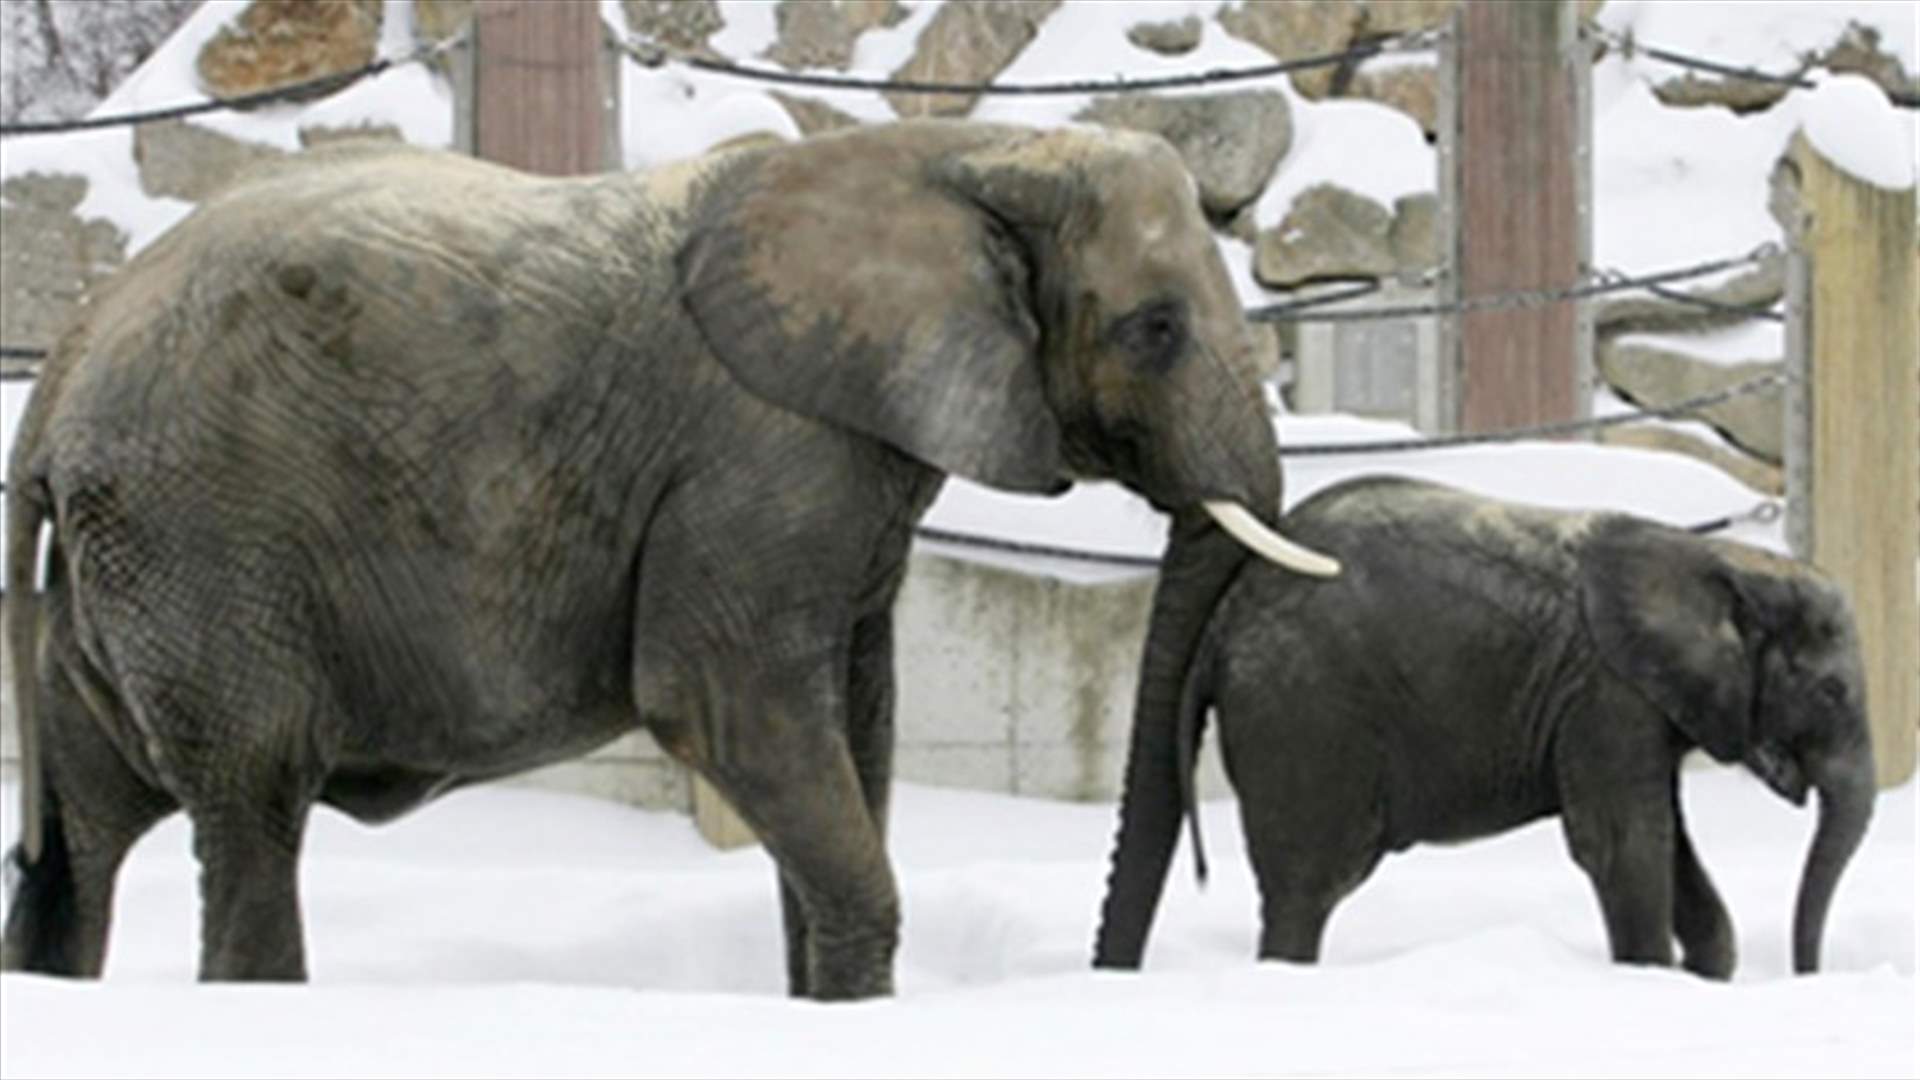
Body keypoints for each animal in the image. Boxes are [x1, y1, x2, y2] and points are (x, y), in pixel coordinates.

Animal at [0, 120, 1341, 1000]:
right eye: (1155, 329)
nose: (1119, 979)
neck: (966, 149)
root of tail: (56, 381)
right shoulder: (762, 452)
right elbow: (726, 708)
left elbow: (858, 725)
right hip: (202, 539)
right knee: (252, 805)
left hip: (116, 575)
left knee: (80, 842)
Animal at [1094, 475, 1876, 979]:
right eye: (1831, 690)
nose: (1809, 977)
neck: (1719, 561)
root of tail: (1228, 612)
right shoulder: (1605, 696)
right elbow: (1623, 845)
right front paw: (1649, 977)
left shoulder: (1639, 705)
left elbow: (1670, 841)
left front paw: (1707, 973)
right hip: (1303, 714)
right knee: (1310, 884)